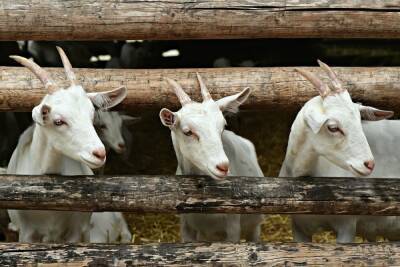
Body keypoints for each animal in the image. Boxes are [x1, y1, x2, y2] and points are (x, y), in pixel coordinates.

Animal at [159, 74, 266, 244]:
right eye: (187, 132)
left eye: (223, 126)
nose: (222, 166)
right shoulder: (186, 226)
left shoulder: (233, 228)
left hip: (254, 225)